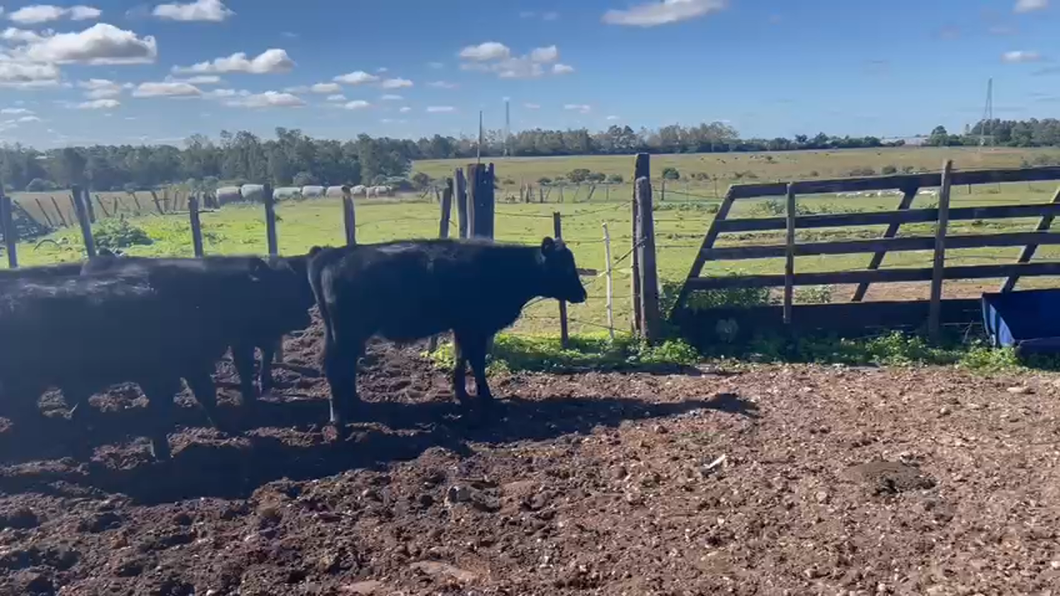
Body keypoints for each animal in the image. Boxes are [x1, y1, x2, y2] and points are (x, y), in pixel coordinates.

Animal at [307, 234, 589, 424]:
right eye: (564, 265)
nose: (582, 294)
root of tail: (330, 254)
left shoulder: (463, 326)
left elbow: (460, 359)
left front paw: (461, 395)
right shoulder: (475, 326)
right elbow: (476, 361)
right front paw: (486, 398)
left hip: (342, 332)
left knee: (343, 364)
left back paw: (354, 403)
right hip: (347, 331)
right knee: (336, 364)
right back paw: (339, 415)